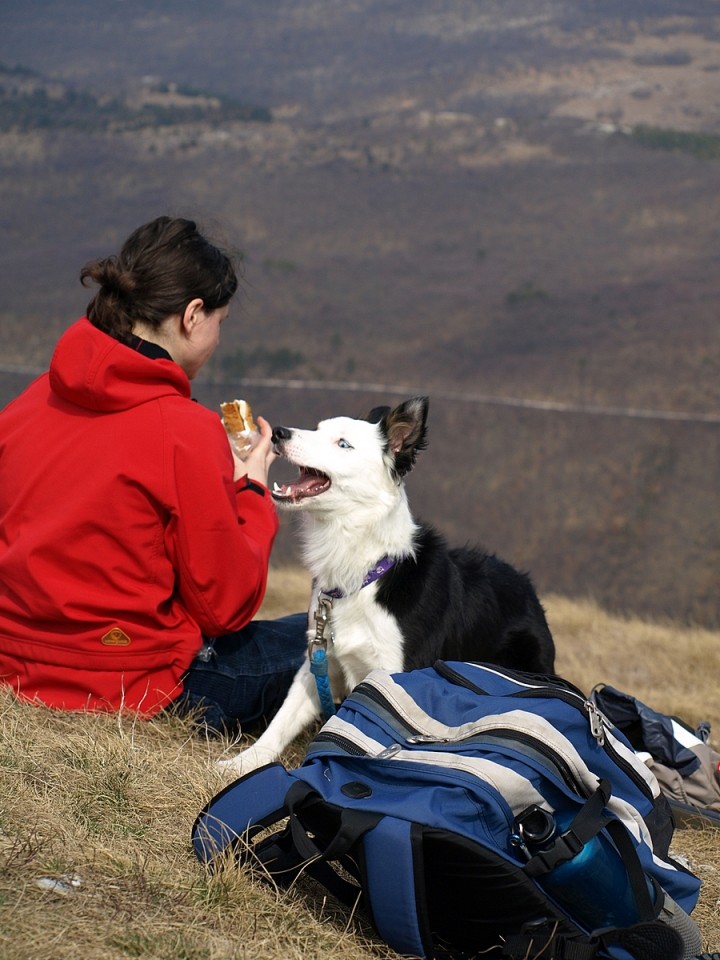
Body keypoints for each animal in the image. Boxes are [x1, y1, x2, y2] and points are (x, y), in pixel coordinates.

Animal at [219, 394, 556, 776]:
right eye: (317, 428)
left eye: (343, 444)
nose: (278, 433)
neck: (364, 572)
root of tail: (528, 588)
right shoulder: (319, 659)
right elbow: (282, 720)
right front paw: (241, 763)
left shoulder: (397, 673)